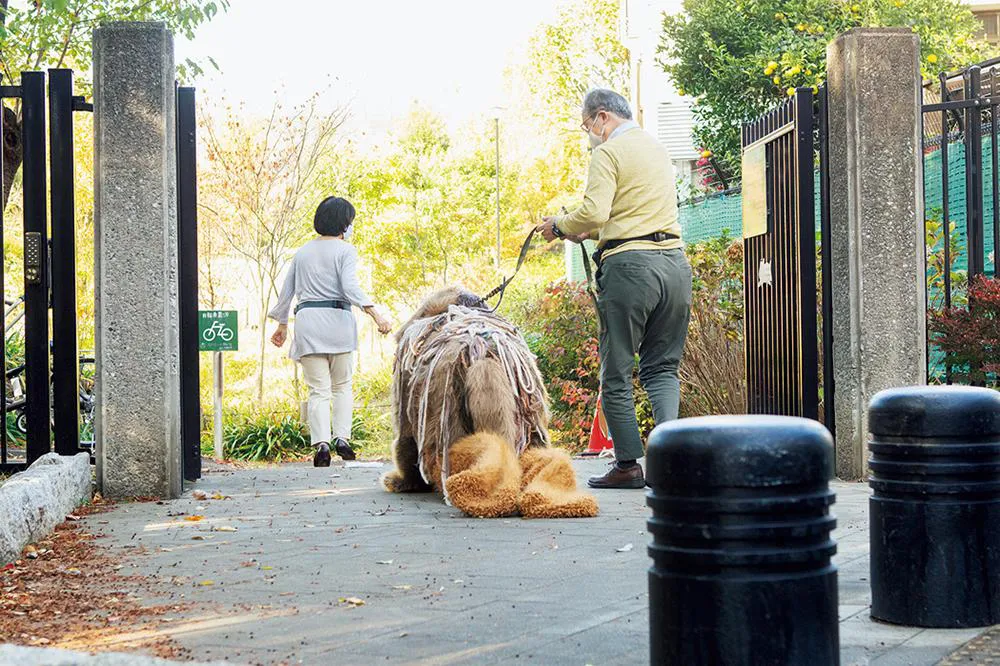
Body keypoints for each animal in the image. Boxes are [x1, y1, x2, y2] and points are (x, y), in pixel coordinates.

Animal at [380, 286, 596, 520]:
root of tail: (484, 354)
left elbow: (405, 438)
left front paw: (402, 481)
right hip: (526, 407)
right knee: (532, 450)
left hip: (447, 407)